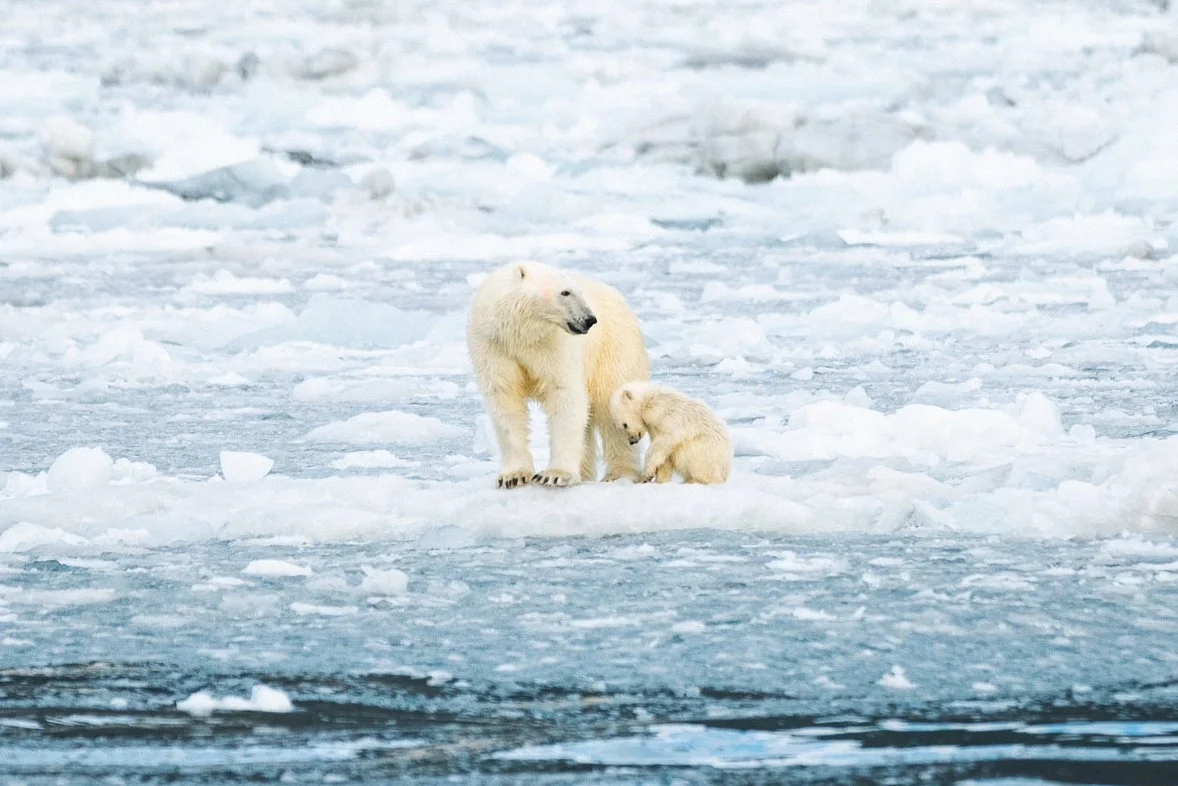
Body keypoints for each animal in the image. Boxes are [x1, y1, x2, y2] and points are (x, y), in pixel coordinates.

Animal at [467, 261, 650, 488]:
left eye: (578, 292)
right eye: (565, 292)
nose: (590, 320)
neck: (520, 334)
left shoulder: (554, 344)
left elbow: (564, 394)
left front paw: (554, 475)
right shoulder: (494, 346)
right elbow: (505, 399)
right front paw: (513, 476)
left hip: (613, 348)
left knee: (611, 402)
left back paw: (619, 474)